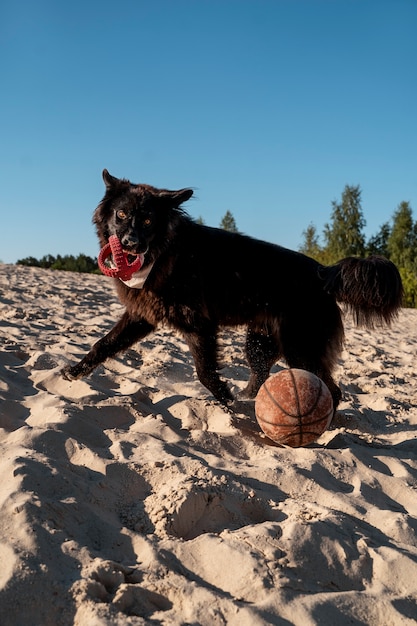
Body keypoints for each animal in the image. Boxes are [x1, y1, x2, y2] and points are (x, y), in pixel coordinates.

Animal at [62, 168, 404, 408]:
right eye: (121, 214)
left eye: (147, 221)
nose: (131, 245)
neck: (165, 253)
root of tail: (324, 273)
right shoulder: (141, 316)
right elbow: (103, 344)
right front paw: (75, 371)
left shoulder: (200, 325)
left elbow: (204, 371)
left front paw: (226, 403)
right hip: (261, 343)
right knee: (262, 375)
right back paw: (251, 399)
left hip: (300, 348)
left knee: (332, 389)